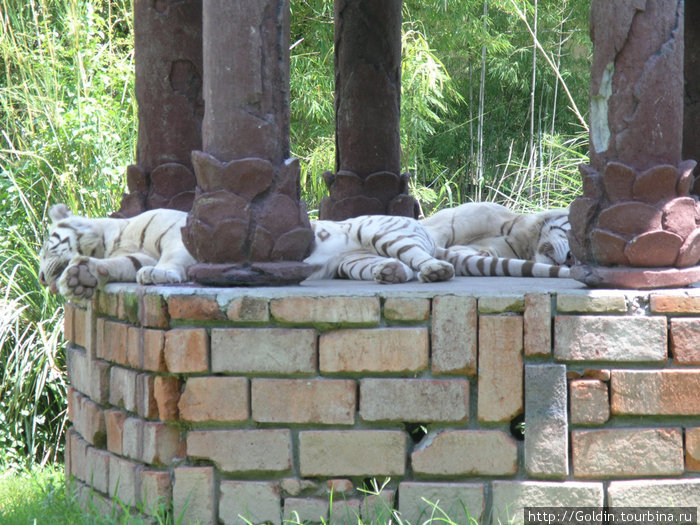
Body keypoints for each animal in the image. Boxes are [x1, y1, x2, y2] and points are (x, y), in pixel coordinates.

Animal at [39, 204, 196, 300]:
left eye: (45, 252)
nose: (41, 279)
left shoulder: (177, 229)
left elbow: (172, 254)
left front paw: (159, 272)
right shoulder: (141, 256)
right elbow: (125, 263)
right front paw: (79, 276)